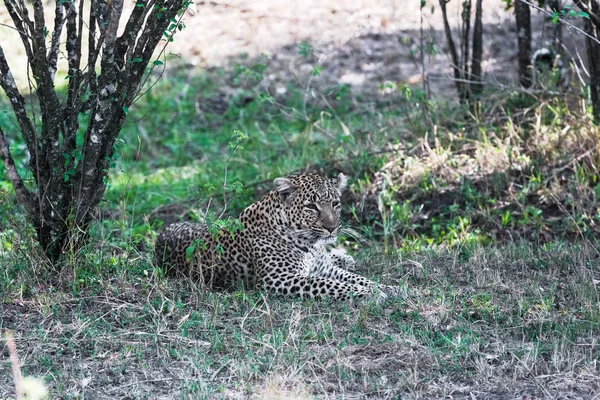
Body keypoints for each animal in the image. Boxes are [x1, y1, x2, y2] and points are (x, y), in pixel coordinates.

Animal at [154, 172, 398, 304]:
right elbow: (329, 284)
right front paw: (370, 293)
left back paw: (345, 257)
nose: (332, 228)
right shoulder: (278, 278)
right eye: (311, 207)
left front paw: (386, 287)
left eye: (335, 204)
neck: (310, 244)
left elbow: (354, 278)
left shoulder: (322, 267)